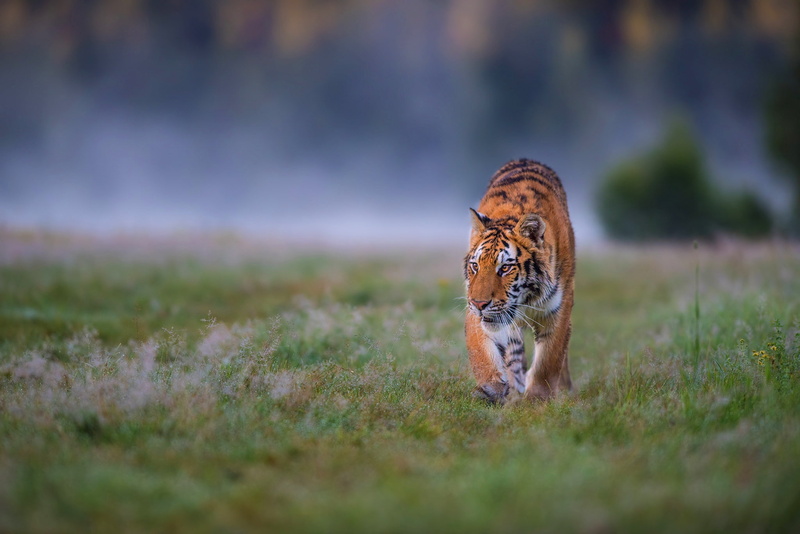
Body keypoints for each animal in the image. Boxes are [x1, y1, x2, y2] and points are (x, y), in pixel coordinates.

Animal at [464, 159, 575, 404]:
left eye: (505, 268)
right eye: (475, 266)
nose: (479, 304)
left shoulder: (560, 308)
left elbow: (549, 359)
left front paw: (537, 400)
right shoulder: (473, 308)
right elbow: (479, 350)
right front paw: (492, 387)